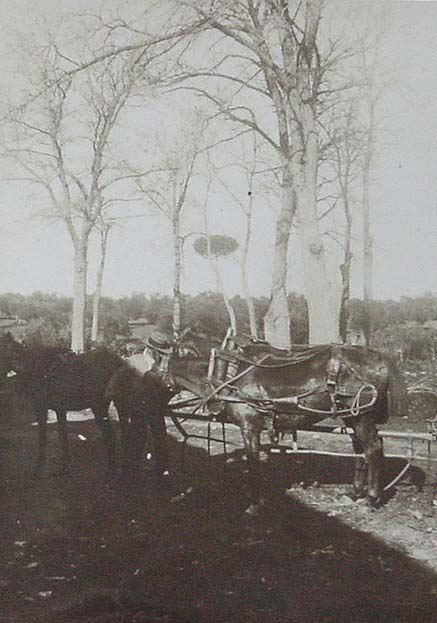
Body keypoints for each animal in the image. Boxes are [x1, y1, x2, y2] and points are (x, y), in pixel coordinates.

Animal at [162, 342, 408, 512]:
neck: (227, 376)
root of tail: (382, 359)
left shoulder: (249, 427)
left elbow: (253, 464)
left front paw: (254, 502)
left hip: (362, 416)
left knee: (373, 449)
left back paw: (372, 498)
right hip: (351, 415)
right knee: (359, 449)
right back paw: (355, 492)